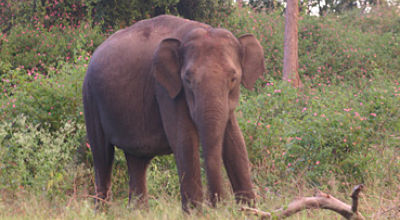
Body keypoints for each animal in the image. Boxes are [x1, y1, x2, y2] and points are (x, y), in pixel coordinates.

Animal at [82, 14, 264, 211]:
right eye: (188, 80)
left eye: (233, 78)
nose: (217, 204)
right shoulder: (165, 88)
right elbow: (184, 139)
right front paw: (197, 213)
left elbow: (235, 142)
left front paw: (250, 210)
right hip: (90, 97)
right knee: (102, 155)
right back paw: (102, 211)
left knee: (137, 160)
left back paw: (138, 212)